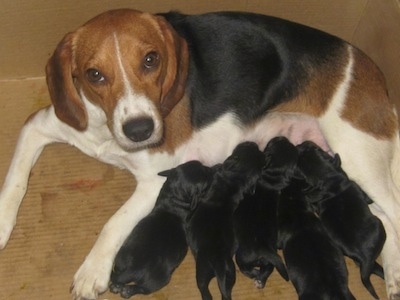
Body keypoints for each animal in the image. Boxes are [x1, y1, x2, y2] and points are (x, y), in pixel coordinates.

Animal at [109, 159, 212, 298]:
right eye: (205, 177)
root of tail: (132, 269)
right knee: (143, 288)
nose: (210, 168)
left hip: (121, 257)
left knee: (116, 274)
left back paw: (117, 286)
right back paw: (127, 291)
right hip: (159, 279)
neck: (174, 198)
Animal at [187, 141, 266, 300]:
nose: (252, 142)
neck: (235, 179)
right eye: (253, 149)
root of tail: (218, 262)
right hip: (231, 271)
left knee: (204, 289)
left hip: (202, 271)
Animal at [231, 137, 294, 288]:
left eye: (270, 144)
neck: (272, 178)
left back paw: (254, 274)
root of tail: (263, 248)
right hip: (269, 260)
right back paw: (261, 279)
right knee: (269, 267)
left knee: (244, 267)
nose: (282, 137)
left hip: (242, 256)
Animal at [296, 141, 384, 300]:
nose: (300, 144)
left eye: (315, 150)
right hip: (380, 226)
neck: (328, 178)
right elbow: (368, 198)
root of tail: (365, 258)